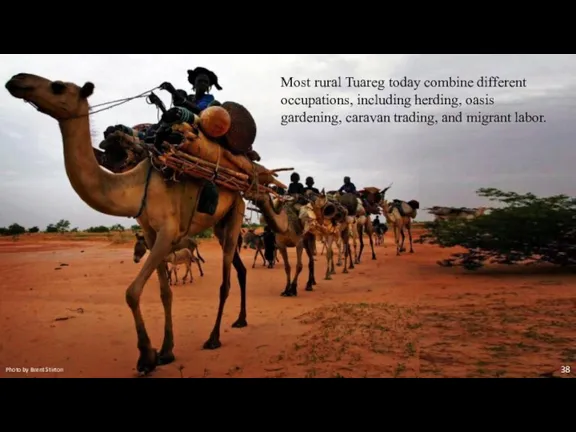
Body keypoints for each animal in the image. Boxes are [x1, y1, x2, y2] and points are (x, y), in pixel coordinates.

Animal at [4, 73, 290, 374]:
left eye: (57, 86)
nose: (16, 80)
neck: (137, 183)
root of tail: (249, 173)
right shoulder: (151, 234)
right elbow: (165, 292)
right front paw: (165, 351)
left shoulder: (168, 232)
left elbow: (132, 292)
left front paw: (146, 357)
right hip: (221, 225)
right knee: (240, 269)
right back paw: (241, 319)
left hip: (235, 210)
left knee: (225, 281)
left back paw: (213, 338)